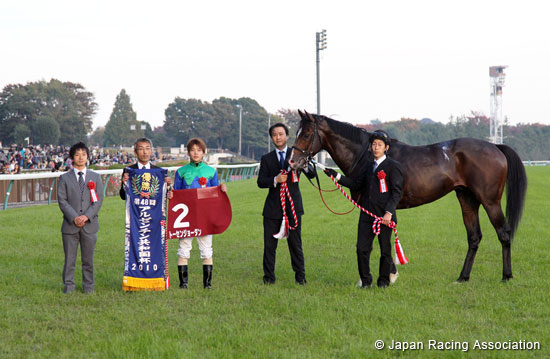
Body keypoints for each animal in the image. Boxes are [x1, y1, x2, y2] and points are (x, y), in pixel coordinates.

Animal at [292, 111, 528, 282]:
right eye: (296, 132)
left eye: (306, 134)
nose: (293, 162)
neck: (368, 156)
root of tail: (495, 146)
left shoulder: (378, 207)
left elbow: (380, 237)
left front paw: (388, 275)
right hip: (467, 199)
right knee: (474, 237)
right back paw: (463, 277)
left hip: (490, 201)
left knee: (503, 233)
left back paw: (506, 276)